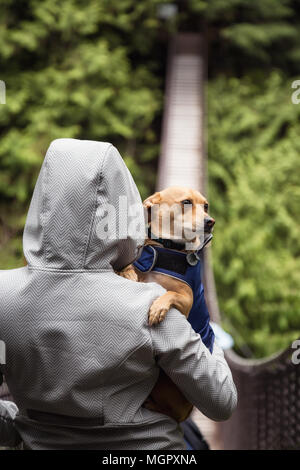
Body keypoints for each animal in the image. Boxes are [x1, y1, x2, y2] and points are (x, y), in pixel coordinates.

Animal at [118, 185, 214, 420]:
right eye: (186, 202)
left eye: (206, 206)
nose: (210, 221)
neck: (166, 248)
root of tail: (189, 410)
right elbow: (130, 267)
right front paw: (128, 271)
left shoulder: (187, 301)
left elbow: (170, 294)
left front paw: (158, 308)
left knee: (171, 413)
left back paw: (151, 405)